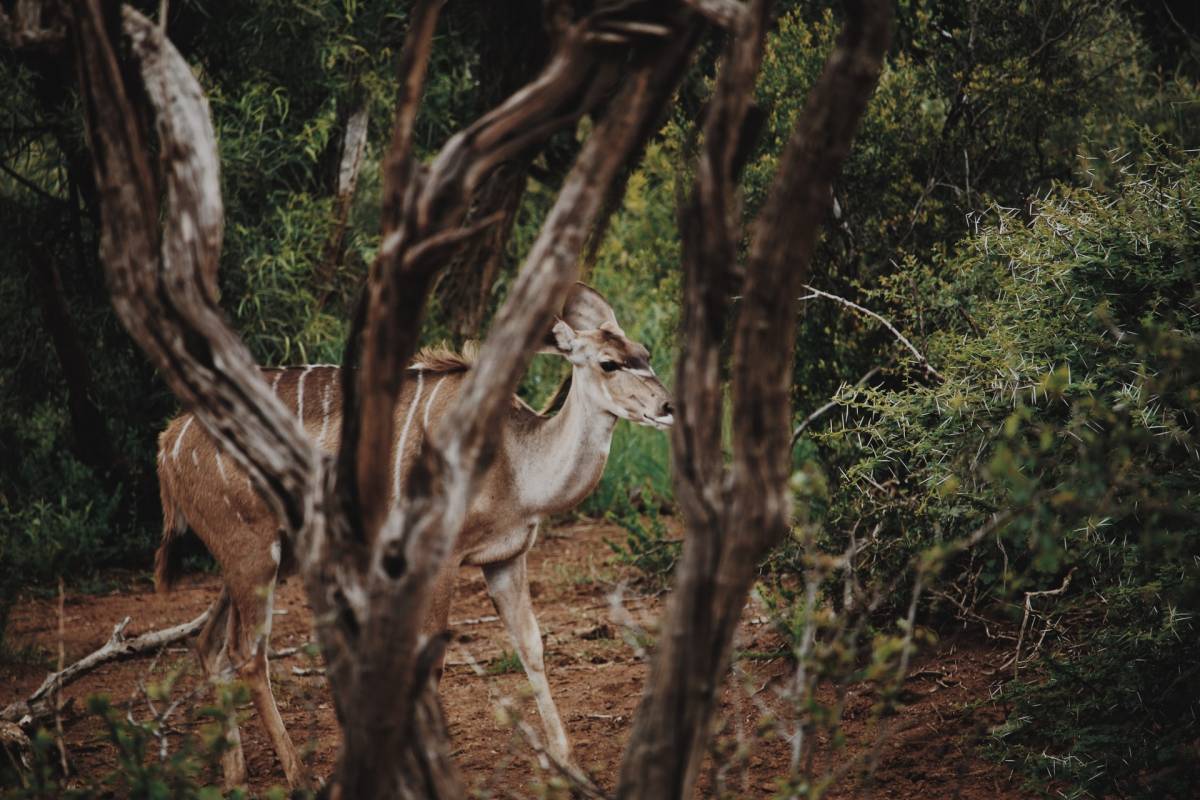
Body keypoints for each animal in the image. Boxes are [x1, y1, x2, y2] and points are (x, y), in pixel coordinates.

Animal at [153, 283, 672, 786]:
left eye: (644, 353)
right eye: (608, 363)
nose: (667, 407)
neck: (514, 461)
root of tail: (169, 442)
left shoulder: (506, 558)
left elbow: (531, 646)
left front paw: (571, 765)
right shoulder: (437, 560)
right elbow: (433, 663)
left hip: (261, 557)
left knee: (211, 645)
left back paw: (235, 773)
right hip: (254, 553)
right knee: (248, 654)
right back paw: (298, 775)